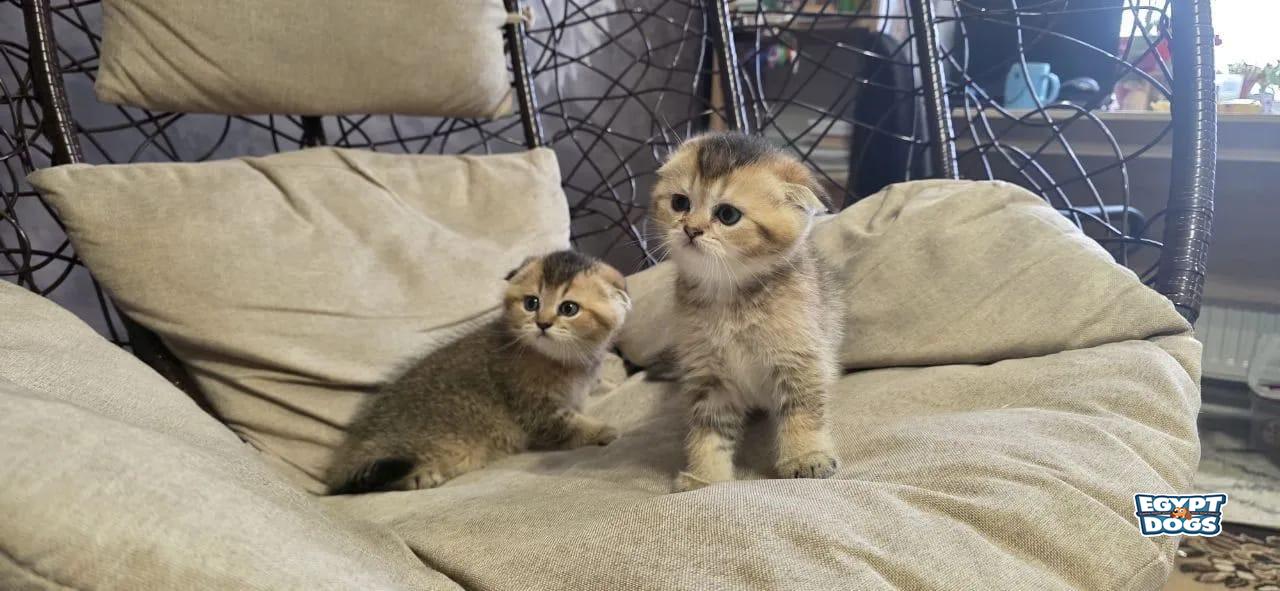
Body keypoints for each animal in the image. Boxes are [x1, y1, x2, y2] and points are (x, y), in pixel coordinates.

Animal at [326, 250, 631, 494]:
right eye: (531, 303)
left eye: (569, 308)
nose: (543, 324)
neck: (560, 360)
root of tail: (343, 458)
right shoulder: (536, 409)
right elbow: (569, 425)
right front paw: (602, 431)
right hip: (440, 448)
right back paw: (419, 477)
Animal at [650, 131, 843, 492]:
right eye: (680, 203)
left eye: (727, 215)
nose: (690, 229)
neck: (728, 298)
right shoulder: (708, 375)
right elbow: (708, 430)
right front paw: (706, 477)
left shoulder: (798, 357)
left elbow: (803, 409)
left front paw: (806, 456)